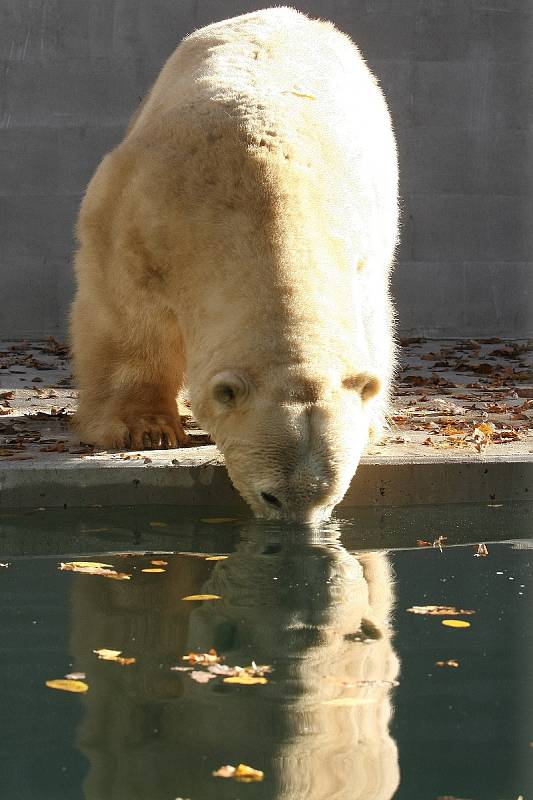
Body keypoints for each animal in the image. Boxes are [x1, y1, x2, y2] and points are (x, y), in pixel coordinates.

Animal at [70, 6, 396, 520]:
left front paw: (368, 422)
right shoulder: (142, 214)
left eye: (328, 496)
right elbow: (128, 317)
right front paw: (146, 428)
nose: (296, 528)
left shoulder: (359, 243)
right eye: (271, 495)